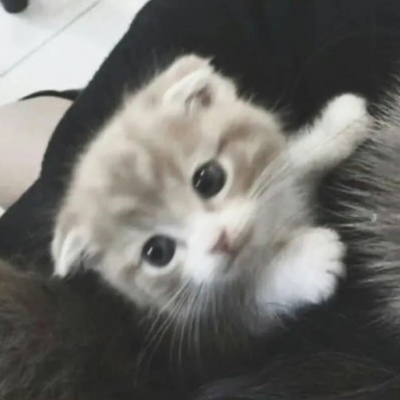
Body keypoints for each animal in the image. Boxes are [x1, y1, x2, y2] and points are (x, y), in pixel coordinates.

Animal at [51, 54, 370, 330]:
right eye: (157, 252)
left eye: (208, 180)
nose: (220, 240)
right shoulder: (223, 328)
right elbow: (251, 293)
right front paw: (306, 262)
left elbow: (293, 160)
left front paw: (339, 125)